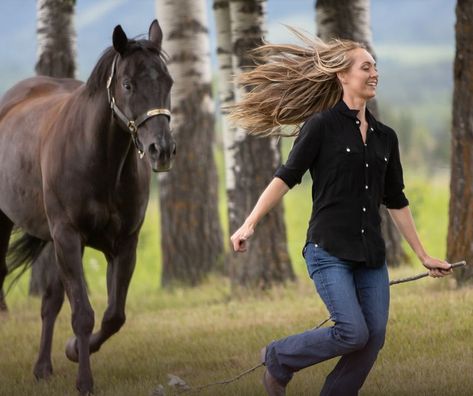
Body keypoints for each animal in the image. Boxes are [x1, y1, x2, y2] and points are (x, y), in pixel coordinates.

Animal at [0, 19, 175, 396]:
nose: (162, 150)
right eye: (127, 84)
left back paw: (43, 367)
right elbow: (83, 313)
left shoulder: (122, 244)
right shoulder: (68, 238)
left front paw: (72, 351)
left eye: (167, 82)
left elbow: (113, 316)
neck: (98, 160)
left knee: (50, 301)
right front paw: (84, 381)